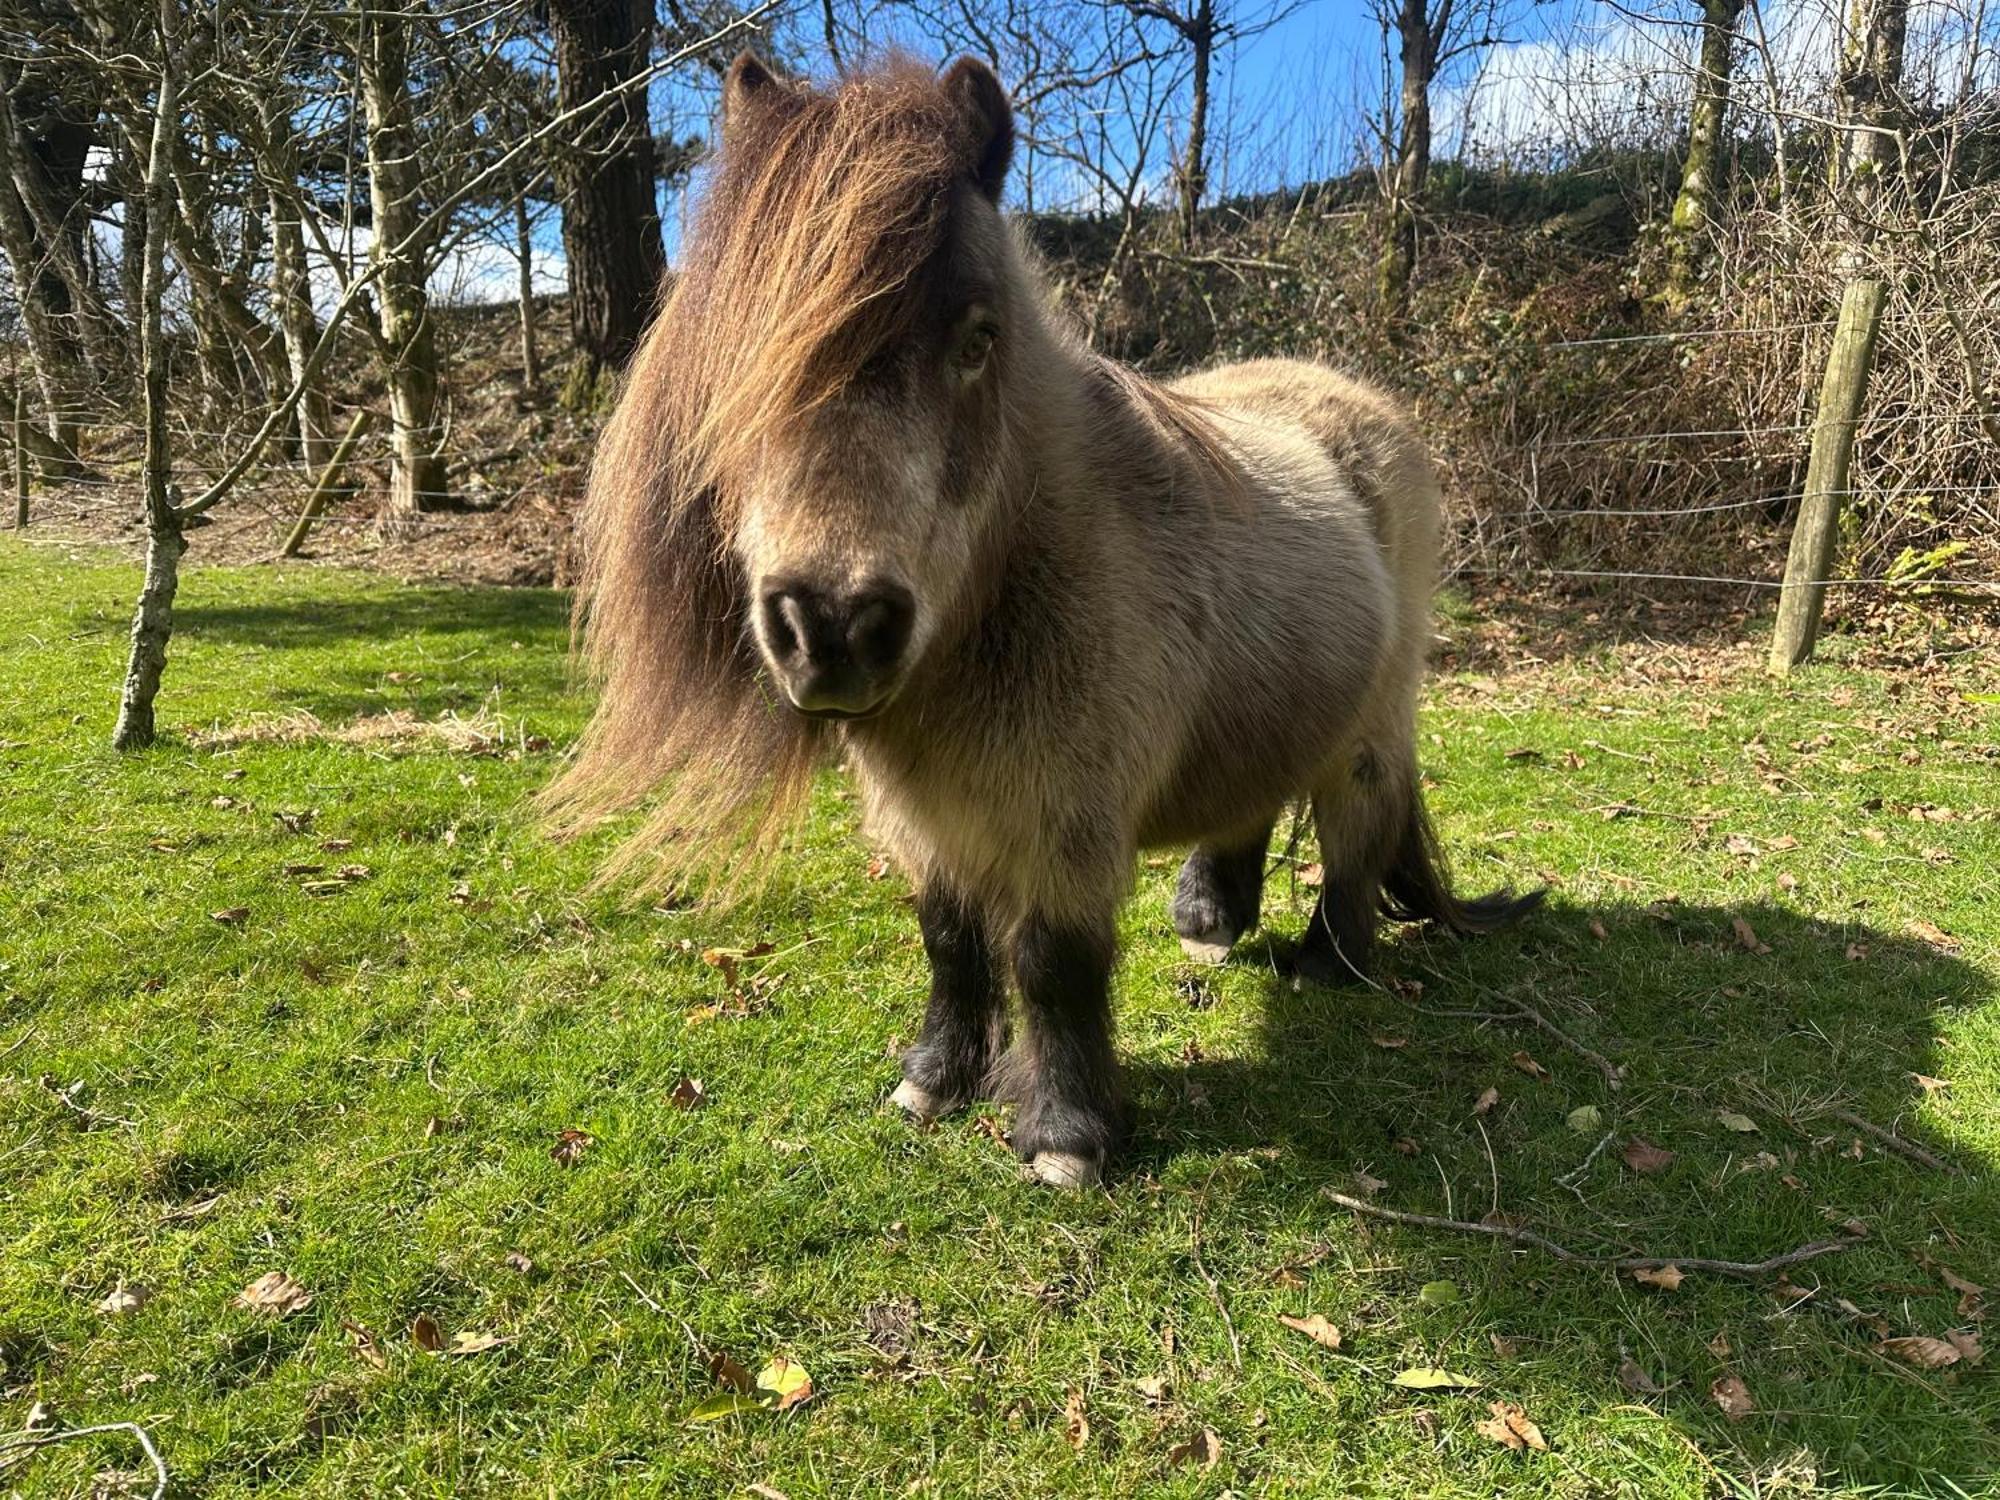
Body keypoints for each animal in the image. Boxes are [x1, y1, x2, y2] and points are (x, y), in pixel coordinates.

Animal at [540, 53, 1536, 1192]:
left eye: (979, 339)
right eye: (742, 356)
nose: (832, 627)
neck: (1009, 589)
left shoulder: (1068, 815)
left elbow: (1053, 962)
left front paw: (1065, 1137)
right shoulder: (925, 816)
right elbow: (949, 939)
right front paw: (933, 1084)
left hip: (1371, 730)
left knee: (1354, 832)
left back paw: (1326, 966)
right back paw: (1209, 924)